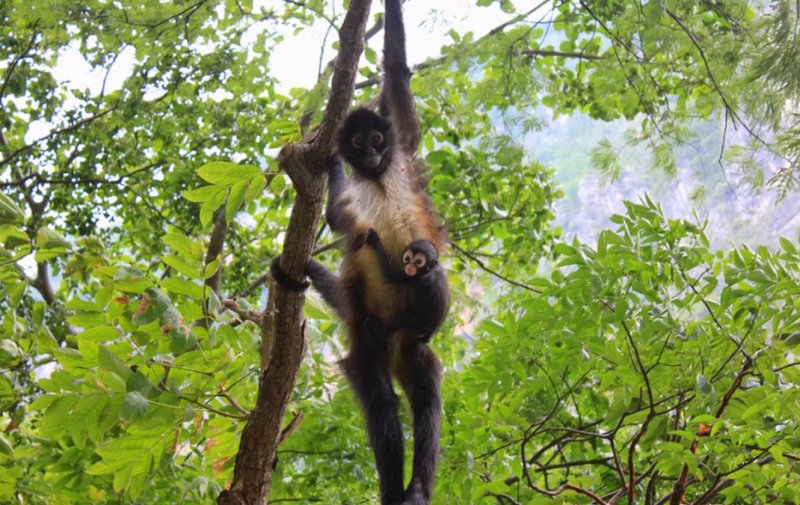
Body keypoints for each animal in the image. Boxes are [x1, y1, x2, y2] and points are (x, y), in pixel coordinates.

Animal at [271, 1, 447, 503]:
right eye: (355, 142)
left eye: (376, 140)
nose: (367, 154)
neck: (376, 176)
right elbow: (338, 220)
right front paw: (326, 164)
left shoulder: (402, 147)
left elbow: (397, 74)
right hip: (368, 342)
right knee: (384, 404)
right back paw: (394, 489)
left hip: (411, 345)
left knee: (426, 396)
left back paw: (417, 489)